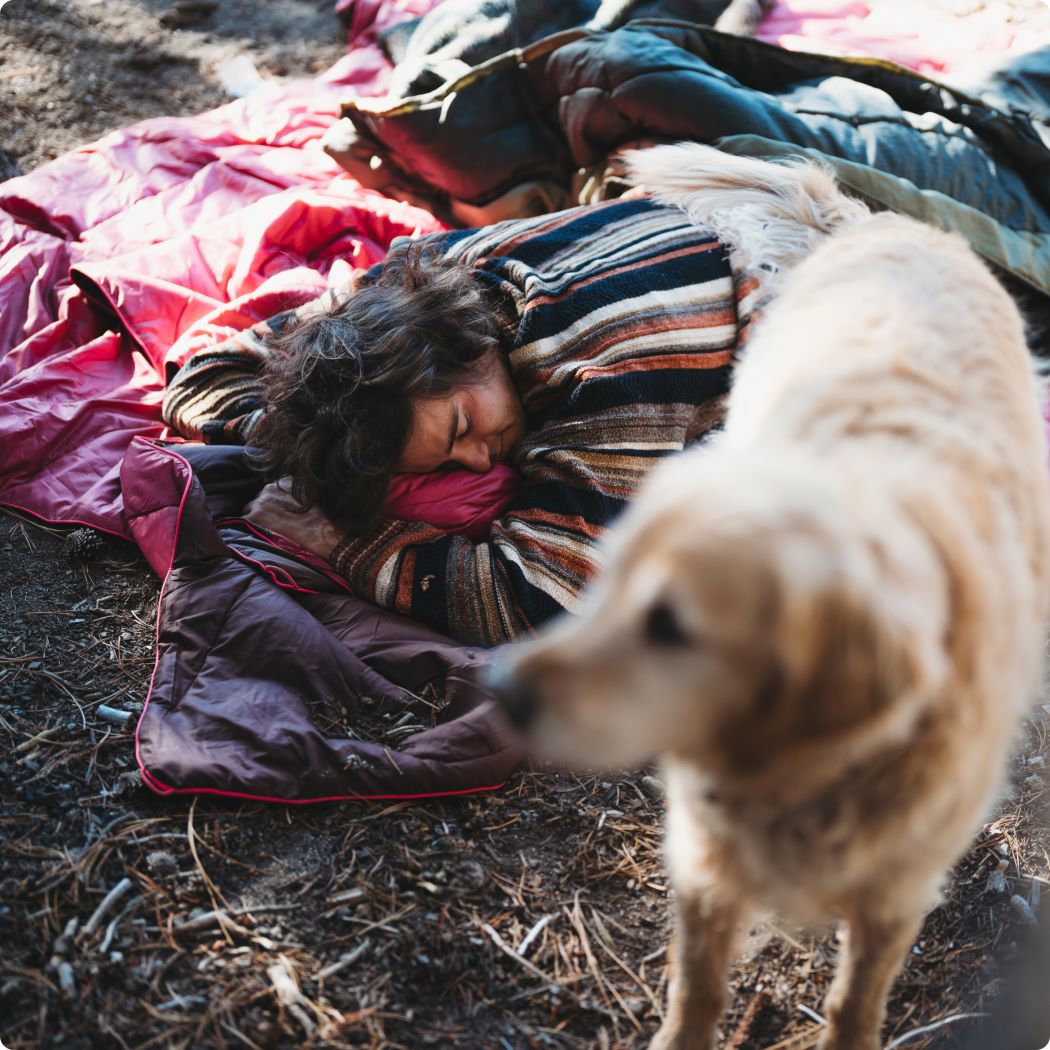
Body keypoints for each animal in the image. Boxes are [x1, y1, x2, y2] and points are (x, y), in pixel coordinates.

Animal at [491, 145, 1050, 1050]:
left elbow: (855, 1000)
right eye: (606, 585)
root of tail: (878, 221)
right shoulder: (704, 864)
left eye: (670, 624)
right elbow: (696, 989)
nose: (496, 687)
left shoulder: (893, 893)